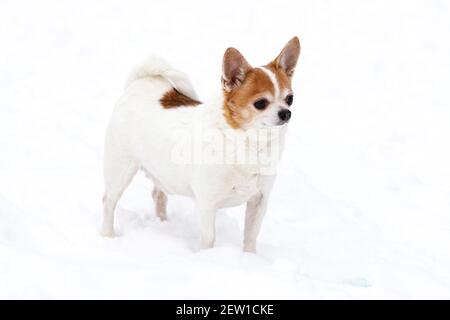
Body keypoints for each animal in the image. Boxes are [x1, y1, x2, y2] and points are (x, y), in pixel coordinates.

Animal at [101, 37, 298, 252]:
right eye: (260, 103)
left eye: (290, 99)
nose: (286, 113)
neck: (248, 144)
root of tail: (141, 82)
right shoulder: (207, 204)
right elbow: (209, 238)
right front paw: (207, 255)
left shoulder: (259, 201)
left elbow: (250, 237)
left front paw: (249, 257)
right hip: (120, 170)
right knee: (108, 202)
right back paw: (108, 236)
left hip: (162, 172)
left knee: (158, 195)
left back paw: (163, 223)